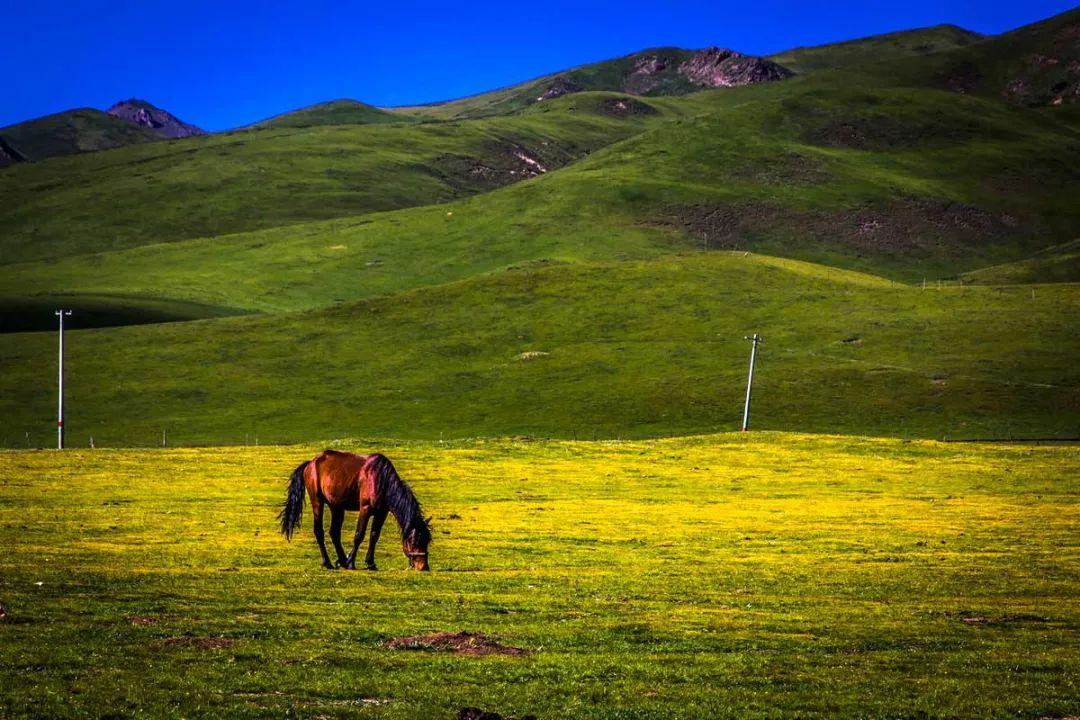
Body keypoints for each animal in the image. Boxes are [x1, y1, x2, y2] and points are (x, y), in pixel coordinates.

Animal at [278, 453, 429, 569]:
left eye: (427, 541)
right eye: (414, 542)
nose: (423, 567)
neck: (381, 479)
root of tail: (310, 463)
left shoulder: (381, 513)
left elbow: (374, 535)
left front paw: (370, 563)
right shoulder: (365, 509)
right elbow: (359, 535)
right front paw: (351, 562)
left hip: (337, 507)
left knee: (334, 533)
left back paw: (341, 560)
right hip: (317, 502)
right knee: (319, 531)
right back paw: (328, 563)